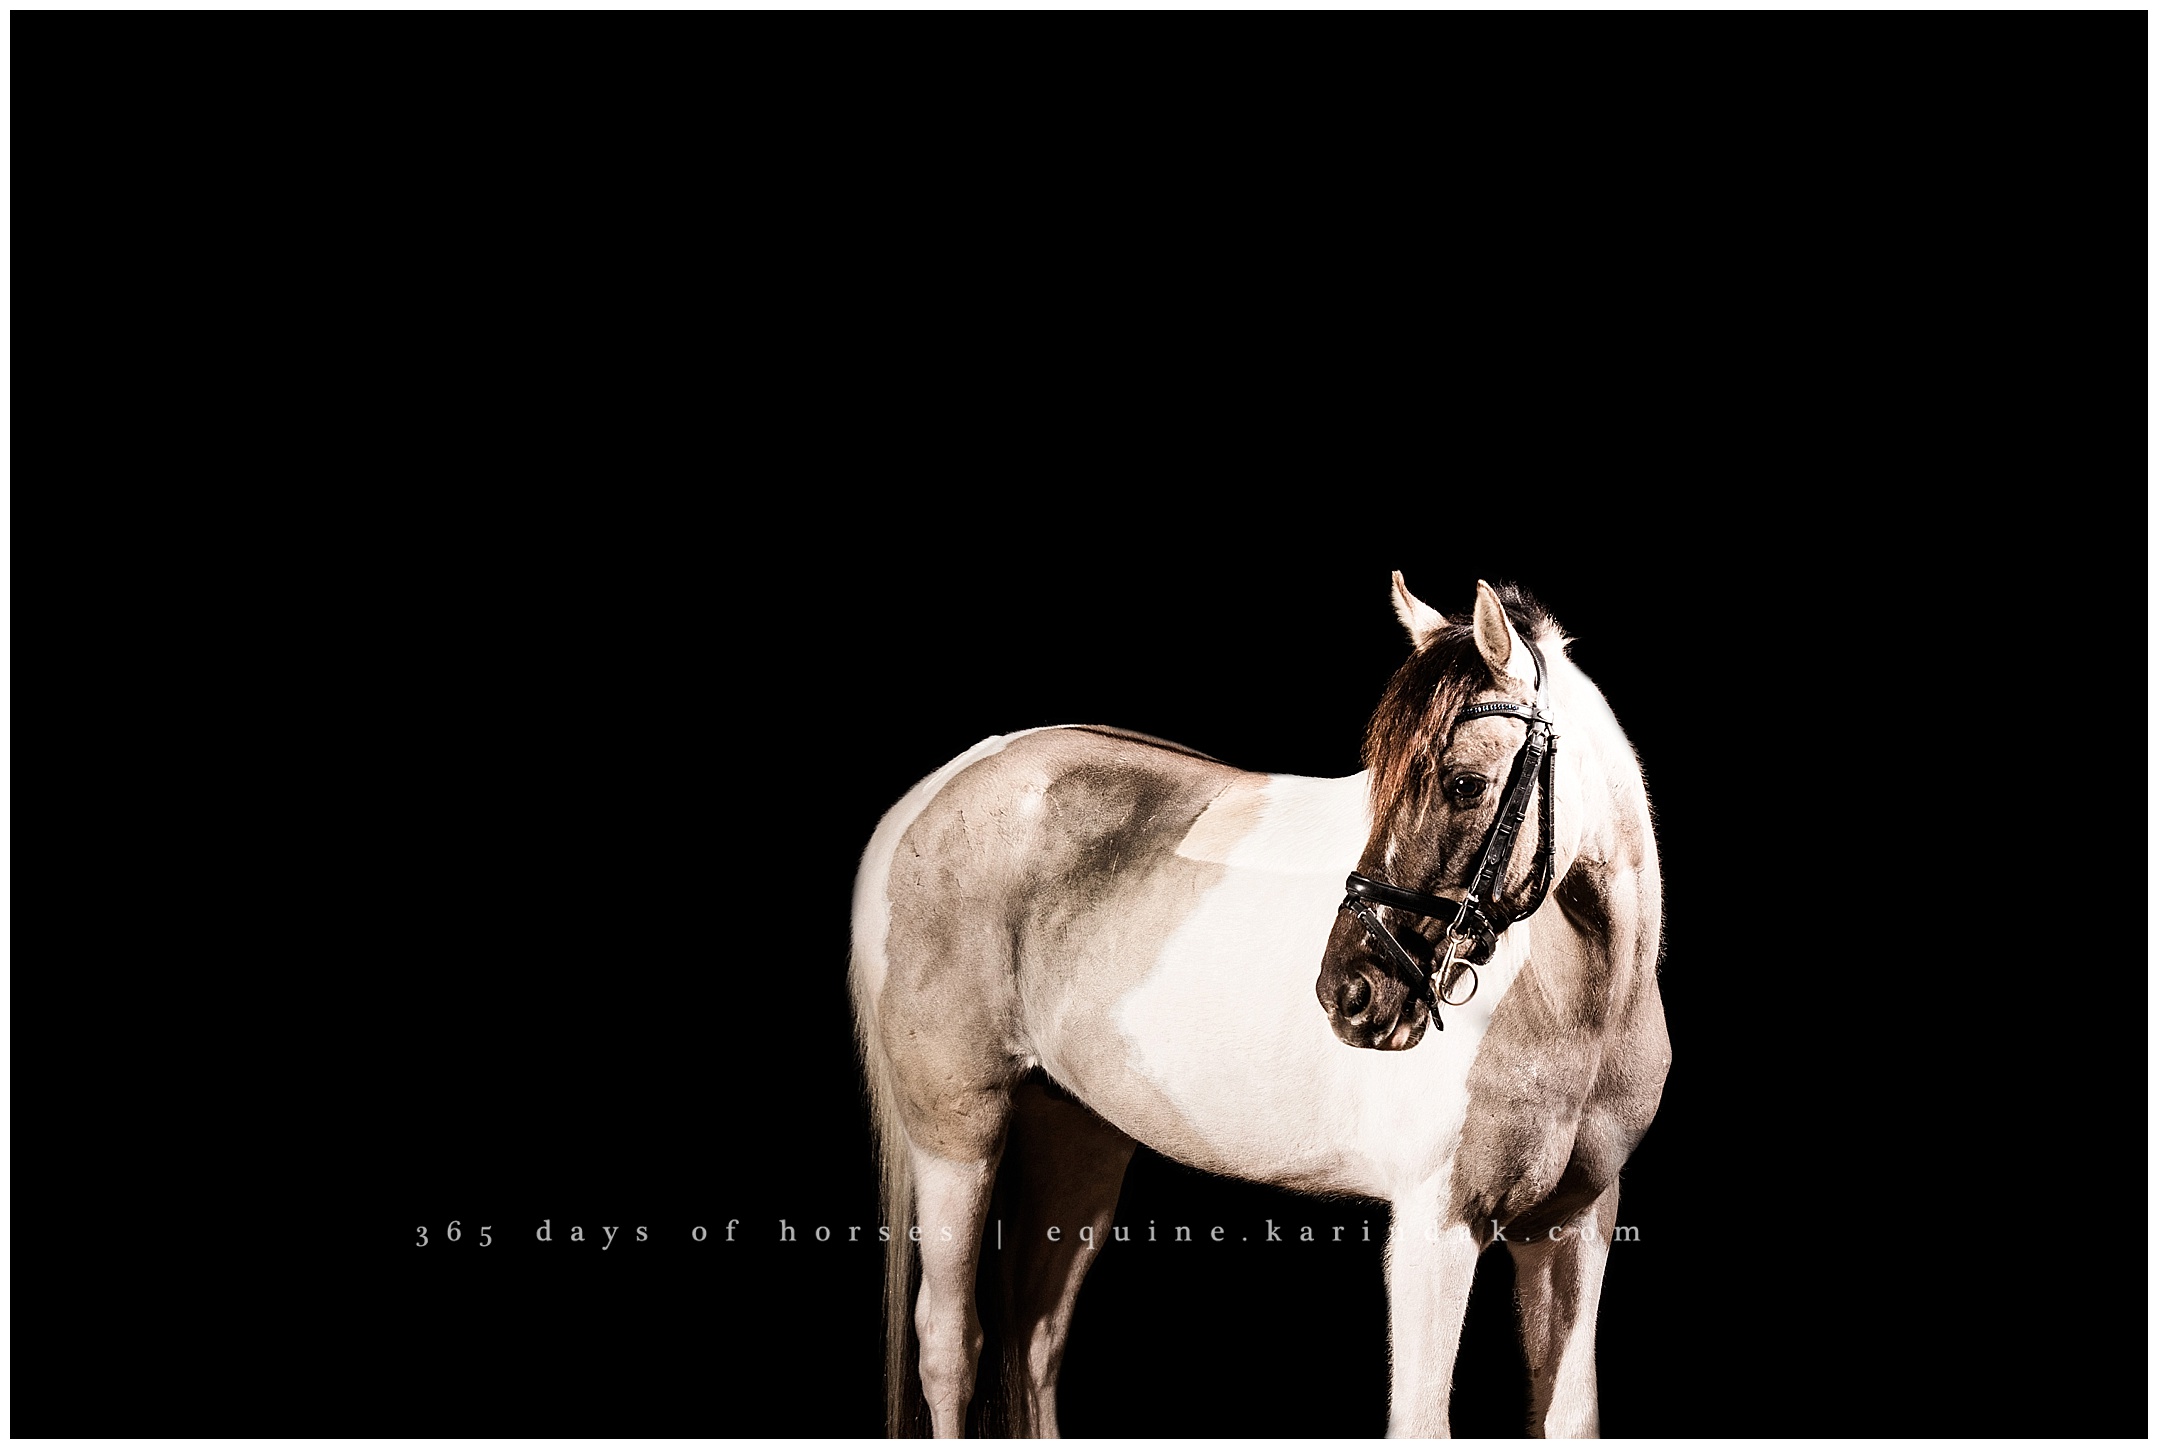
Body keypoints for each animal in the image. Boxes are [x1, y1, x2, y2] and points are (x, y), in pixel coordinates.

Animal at [848, 575, 1669, 1438]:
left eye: (1464, 784)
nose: (1350, 992)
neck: (1580, 1010)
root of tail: (930, 796)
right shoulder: (1436, 1225)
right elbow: (1419, 1423)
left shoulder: (1572, 1227)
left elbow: (1569, 1417)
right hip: (955, 1133)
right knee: (950, 1345)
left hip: (1076, 1133)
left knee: (1034, 1337)